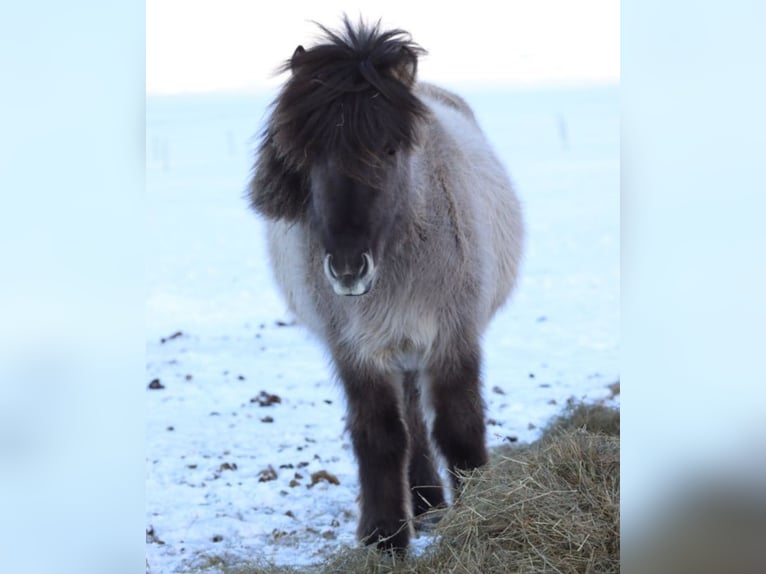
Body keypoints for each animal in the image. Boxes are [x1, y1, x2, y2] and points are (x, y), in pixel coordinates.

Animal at [248, 17, 524, 551]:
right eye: (309, 155)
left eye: (390, 149)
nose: (347, 269)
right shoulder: (356, 351)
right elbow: (379, 435)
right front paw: (383, 535)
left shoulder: (453, 337)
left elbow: (459, 427)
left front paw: (481, 511)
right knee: (411, 423)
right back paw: (425, 502)